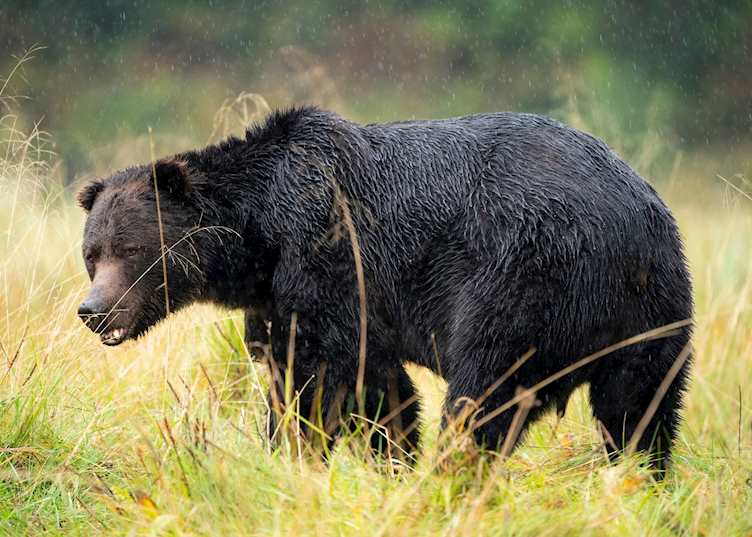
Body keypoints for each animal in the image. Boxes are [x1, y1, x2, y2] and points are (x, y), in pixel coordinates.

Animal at [77, 107, 693, 471]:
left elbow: (333, 382)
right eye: (91, 254)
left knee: (486, 390)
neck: (261, 239)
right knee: (640, 408)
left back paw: (453, 473)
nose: (94, 310)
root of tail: (629, 221)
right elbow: (335, 379)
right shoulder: (280, 299)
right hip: (652, 310)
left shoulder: (330, 260)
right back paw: (640, 479)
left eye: (131, 250)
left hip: (524, 277)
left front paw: (315, 454)